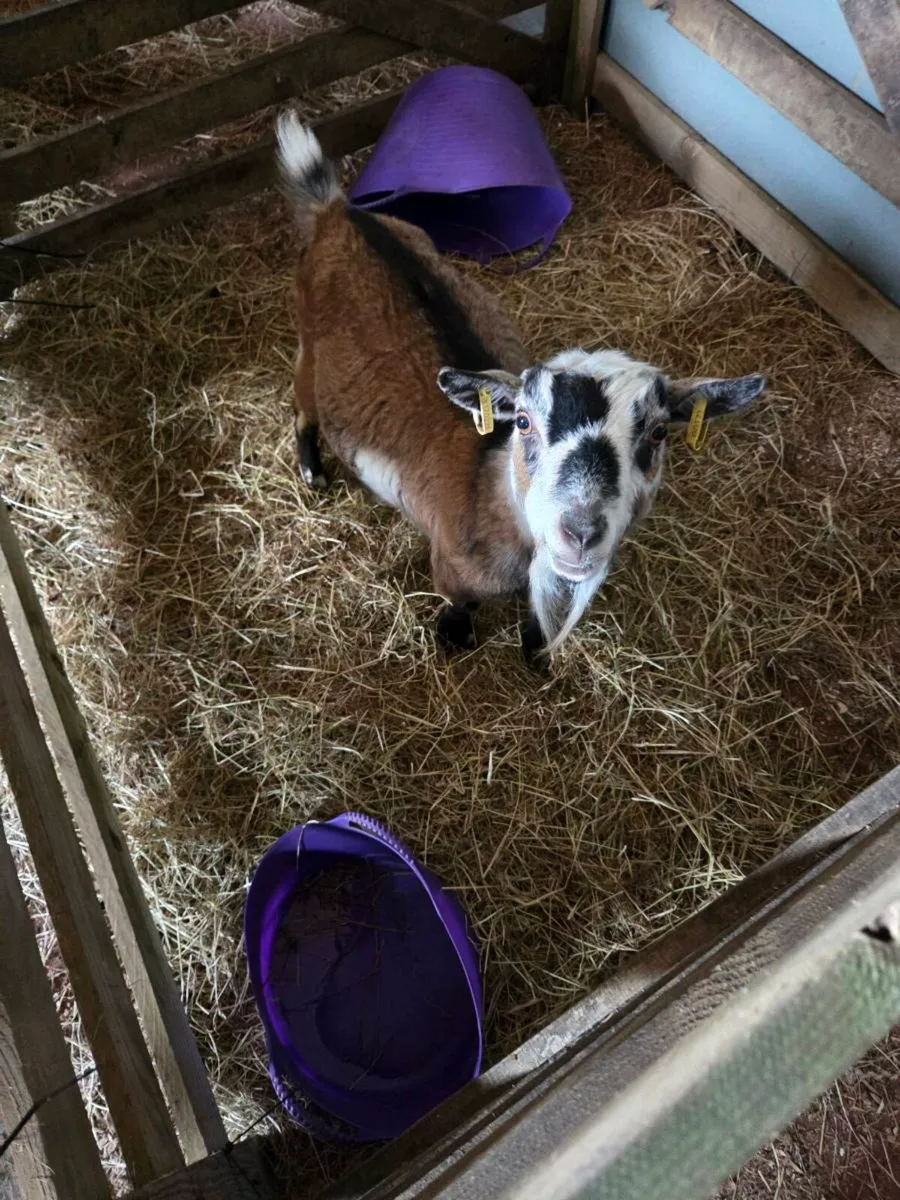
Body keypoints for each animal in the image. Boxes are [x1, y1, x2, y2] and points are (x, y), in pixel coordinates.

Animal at [276, 113, 766, 663]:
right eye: (524, 422)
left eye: (659, 433)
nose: (580, 531)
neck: (489, 487)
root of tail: (338, 212)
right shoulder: (450, 568)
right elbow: (459, 603)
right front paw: (455, 637)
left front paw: (536, 648)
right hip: (307, 344)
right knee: (302, 405)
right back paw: (312, 471)